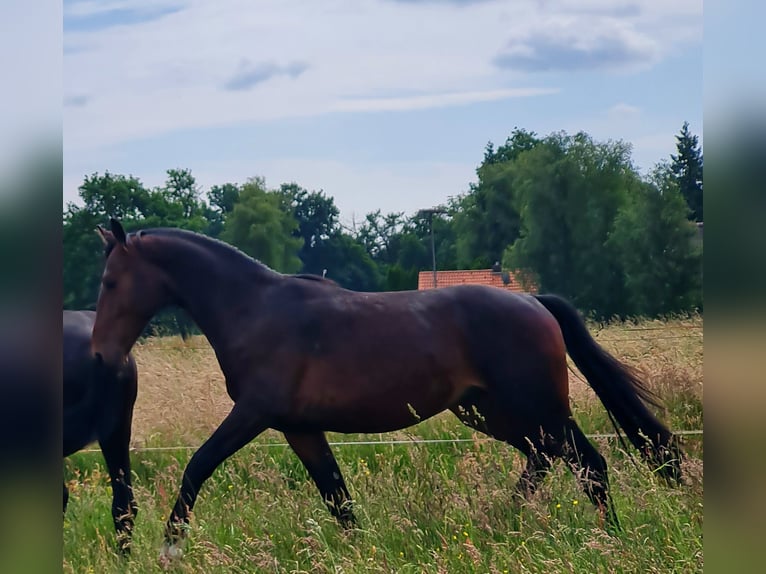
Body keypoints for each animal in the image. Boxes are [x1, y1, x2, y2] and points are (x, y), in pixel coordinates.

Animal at [91, 219, 684, 560]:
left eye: (110, 281)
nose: (99, 355)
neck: (253, 310)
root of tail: (533, 301)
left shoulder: (254, 413)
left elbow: (198, 465)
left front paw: (170, 548)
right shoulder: (299, 428)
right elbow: (337, 497)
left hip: (535, 409)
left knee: (589, 465)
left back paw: (606, 540)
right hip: (490, 412)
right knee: (545, 461)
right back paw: (500, 521)